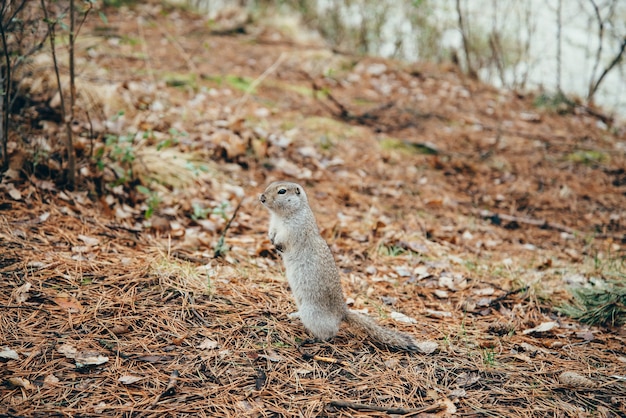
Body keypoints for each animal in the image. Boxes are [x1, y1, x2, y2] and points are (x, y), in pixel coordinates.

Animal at [256, 181, 422, 352]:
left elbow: (284, 238)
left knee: (329, 334)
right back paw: (294, 316)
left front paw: (277, 244)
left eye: (282, 191)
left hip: (312, 313)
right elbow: (272, 232)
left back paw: (312, 340)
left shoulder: (295, 228)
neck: (281, 215)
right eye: (270, 185)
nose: (262, 197)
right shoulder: (273, 225)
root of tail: (342, 313)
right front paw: (271, 239)